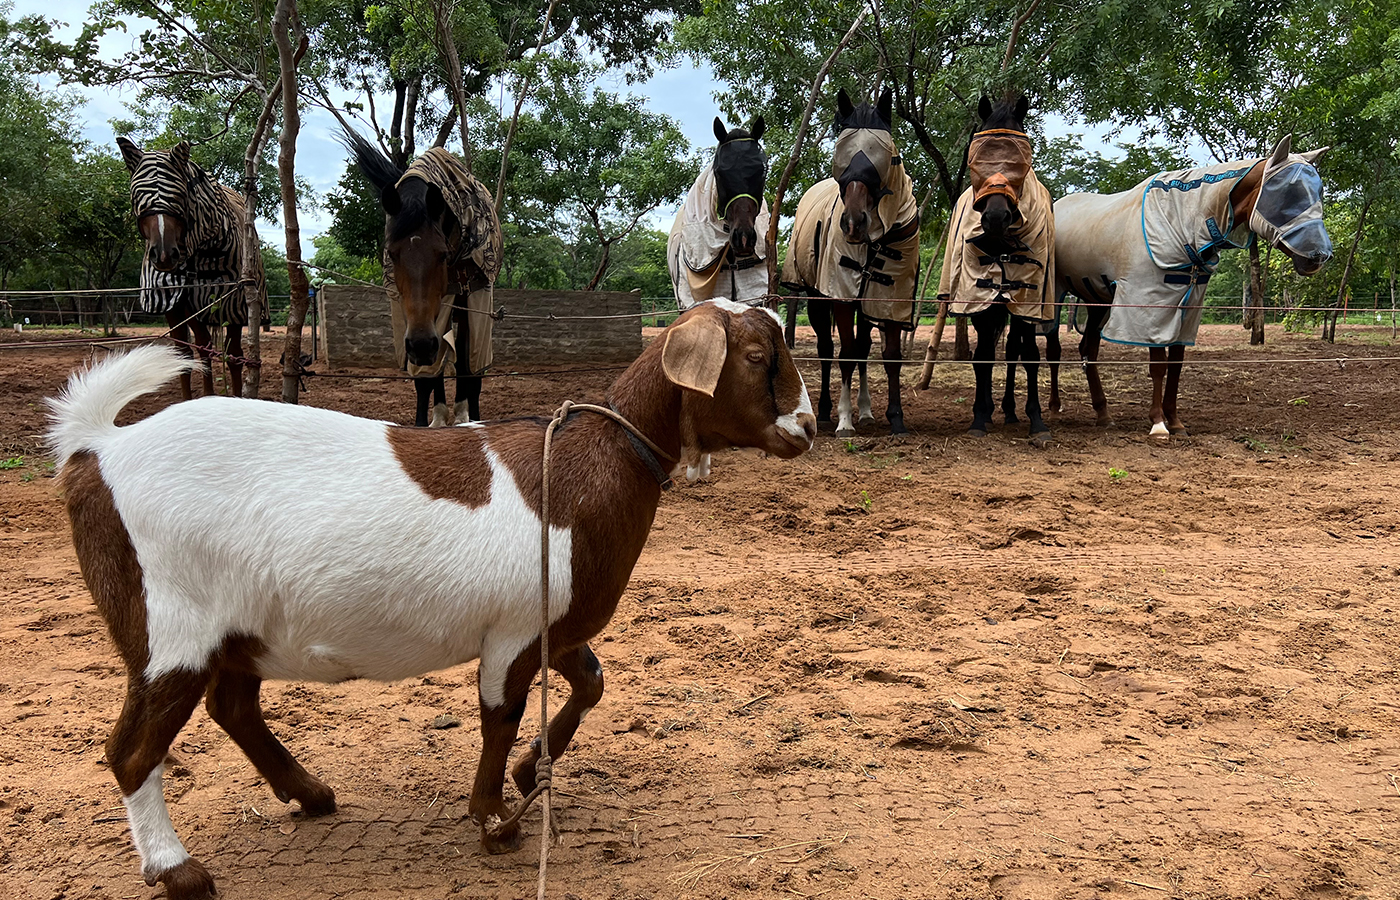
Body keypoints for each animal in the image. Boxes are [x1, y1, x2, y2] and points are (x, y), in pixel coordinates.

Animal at [51, 302, 817, 900]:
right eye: (756, 355)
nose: (808, 428)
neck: (594, 462)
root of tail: (97, 449)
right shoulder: (513, 632)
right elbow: (499, 714)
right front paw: (494, 819)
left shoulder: (554, 623)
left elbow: (591, 682)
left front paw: (532, 769)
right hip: (168, 627)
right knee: (131, 750)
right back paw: (178, 870)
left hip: (238, 628)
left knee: (232, 706)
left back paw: (311, 794)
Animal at [117, 139, 264, 400]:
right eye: (136, 196)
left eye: (180, 194)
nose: (164, 254)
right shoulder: (179, 301)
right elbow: (193, 352)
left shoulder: (232, 304)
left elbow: (224, 353)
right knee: (185, 353)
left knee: (231, 354)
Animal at [784, 86, 924, 439]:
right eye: (841, 154)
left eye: (883, 156)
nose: (852, 223)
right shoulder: (842, 296)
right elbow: (845, 354)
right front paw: (845, 420)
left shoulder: (889, 297)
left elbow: (888, 356)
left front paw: (894, 417)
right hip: (817, 298)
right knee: (826, 349)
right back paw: (824, 412)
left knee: (862, 348)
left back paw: (867, 411)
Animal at [1052, 132, 1327, 436]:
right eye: (1289, 194)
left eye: (1319, 193)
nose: (1320, 256)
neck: (1181, 223)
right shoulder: (1152, 306)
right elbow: (1158, 366)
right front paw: (1158, 423)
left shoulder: (1186, 306)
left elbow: (1176, 365)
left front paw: (1175, 421)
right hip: (1054, 294)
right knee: (1053, 349)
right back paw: (1054, 407)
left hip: (1097, 302)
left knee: (1088, 350)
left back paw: (1103, 414)